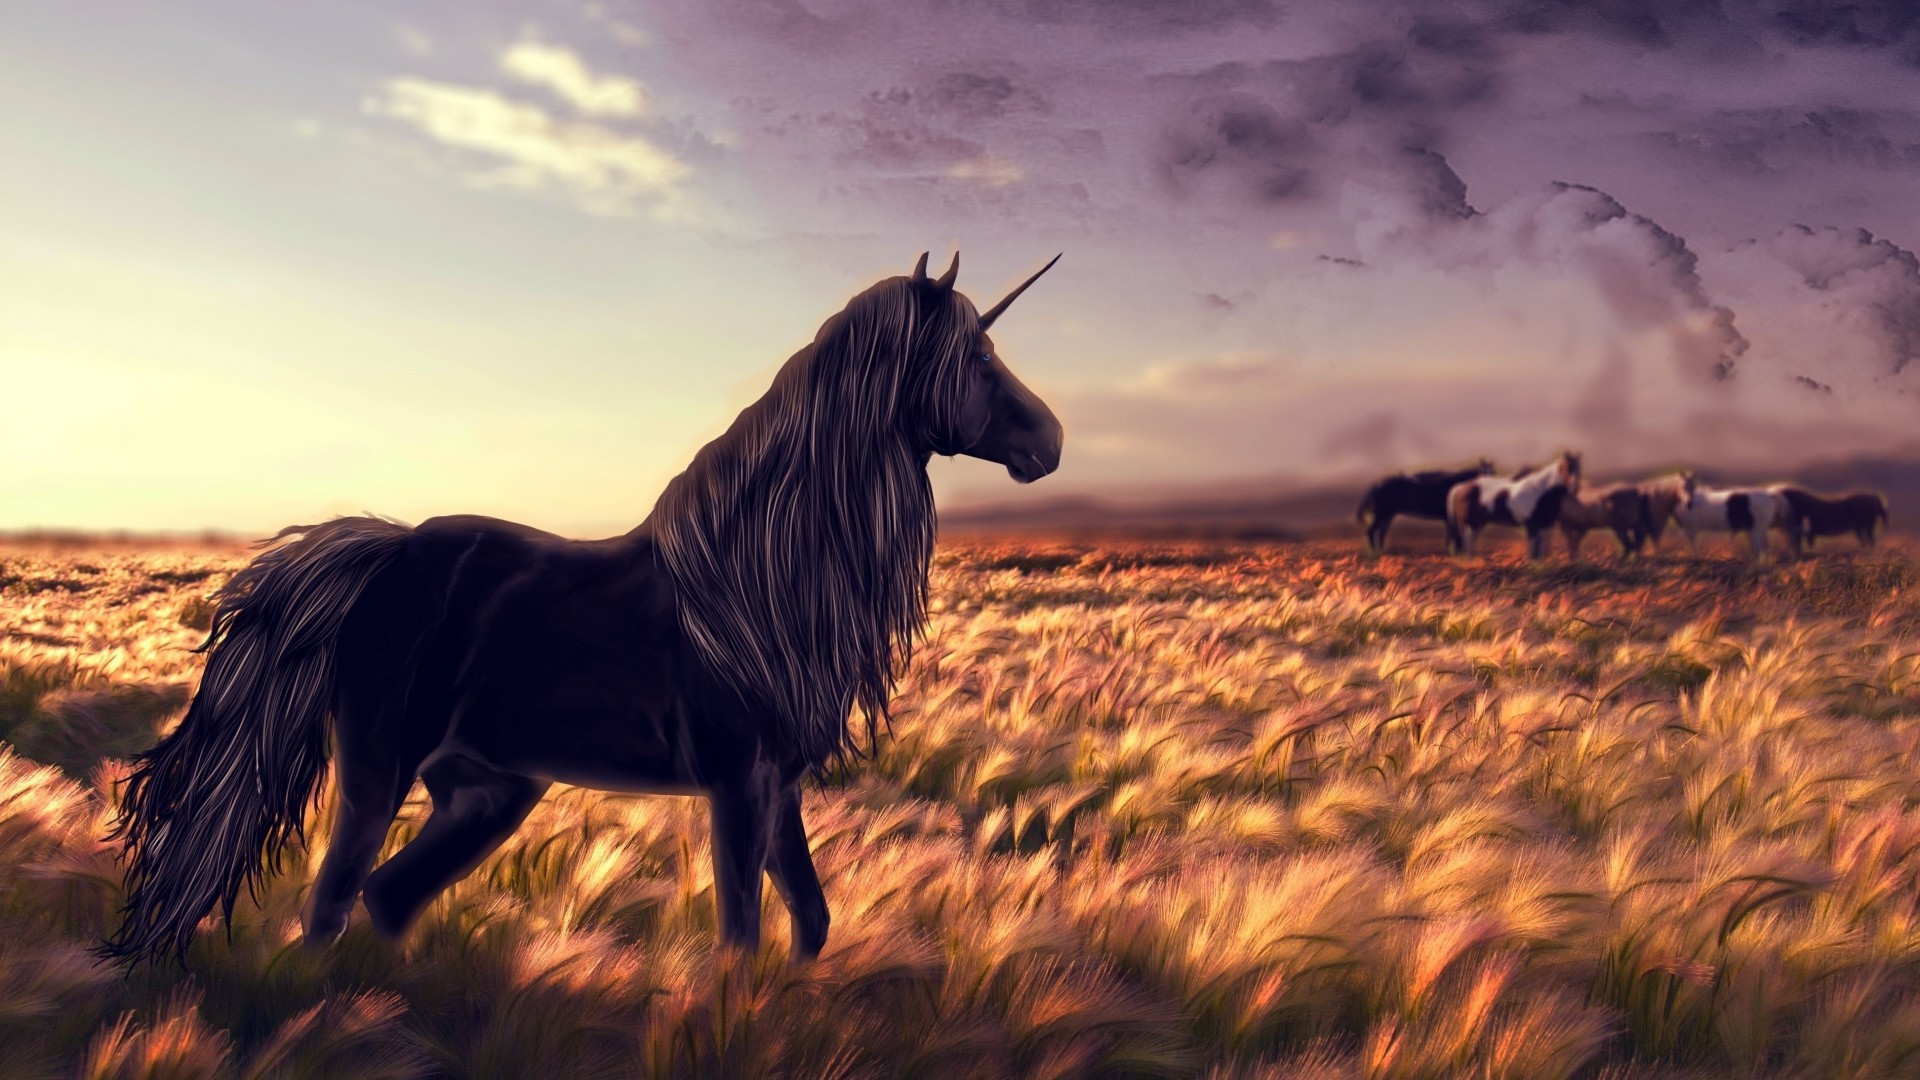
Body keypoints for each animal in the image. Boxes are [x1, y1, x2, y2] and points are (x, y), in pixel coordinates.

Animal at [100, 252, 1065, 967]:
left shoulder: (778, 782)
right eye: (977, 360)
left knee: (386, 897)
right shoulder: (737, 783)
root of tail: (388, 553)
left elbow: (811, 922)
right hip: (380, 771)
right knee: (335, 902)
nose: (1051, 440)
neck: (755, 584)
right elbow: (743, 934)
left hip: (492, 788)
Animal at [1355, 458, 1495, 552]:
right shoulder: (1450, 518)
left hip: (1387, 515)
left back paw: (1381, 550)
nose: (1489, 483)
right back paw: (1374, 553)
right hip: (1381, 514)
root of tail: (1376, 485)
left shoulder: (1448, 518)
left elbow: (1451, 536)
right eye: (1481, 472)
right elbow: (1455, 536)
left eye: (1493, 472)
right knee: (1371, 531)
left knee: (1381, 533)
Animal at [1444, 452, 1581, 558]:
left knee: (1471, 543)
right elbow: (1533, 548)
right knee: (1467, 543)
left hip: (1478, 524)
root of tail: (1460, 487)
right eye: (1566, 468)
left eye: (1578, 468)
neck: (1540, 491)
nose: (1575, 488)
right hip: (1470, 524)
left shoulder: (1545, 525)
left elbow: (1541, 548)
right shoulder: (1531, 525)